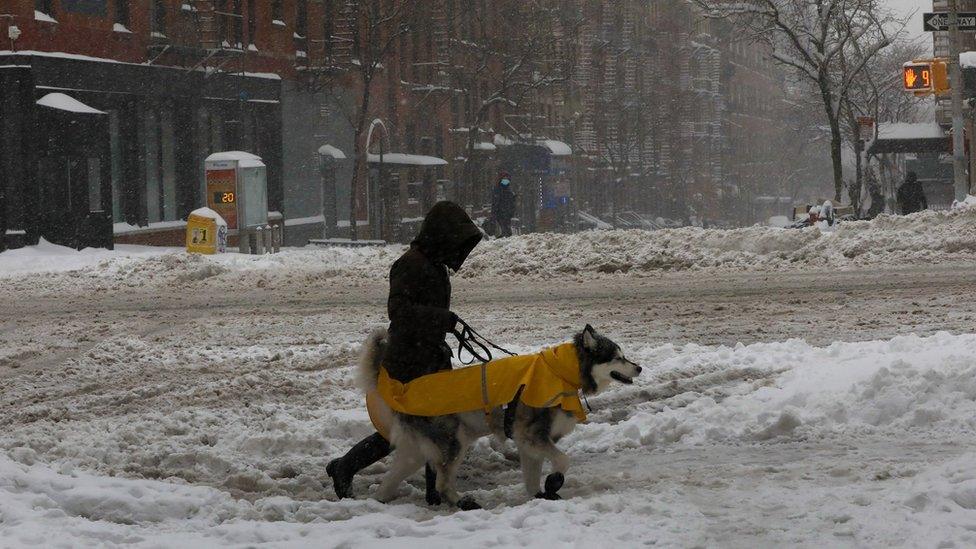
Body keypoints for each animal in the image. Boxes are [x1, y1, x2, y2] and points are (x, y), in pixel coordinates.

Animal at [358, 326, 640, 510]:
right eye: (618, 357)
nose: (638, 367)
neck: (561, 371)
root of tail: (401, 392)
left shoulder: (528, 443)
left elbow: (531, 477)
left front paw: (540, 495)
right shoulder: (533, 435)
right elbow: (563, 460)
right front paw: (554, 482)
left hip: (416, 452)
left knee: (390, 481)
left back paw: (378, 503)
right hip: (454, 444)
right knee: (442, 483)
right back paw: (462, 502)